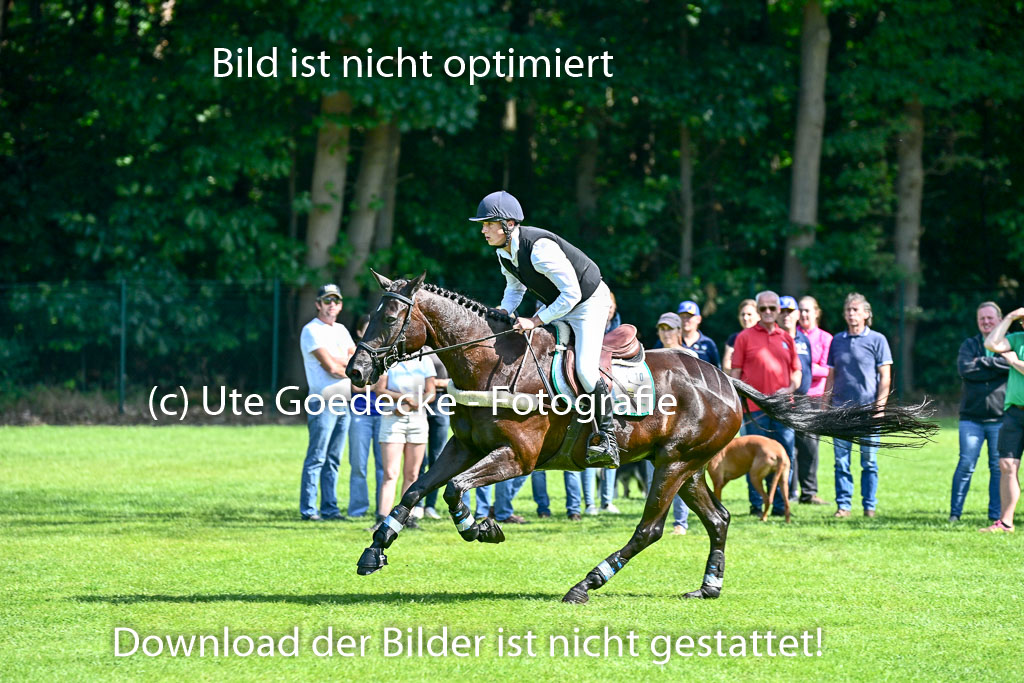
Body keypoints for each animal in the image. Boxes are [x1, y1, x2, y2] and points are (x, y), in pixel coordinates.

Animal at [346, 271, 935, 603]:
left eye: (391, 317)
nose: (356, 369)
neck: (490, 361)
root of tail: (726, 379)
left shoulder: (517, 456)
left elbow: (454, 492)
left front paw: (482, 528)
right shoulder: (462, 446)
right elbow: (417, 488)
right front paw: (375, 550)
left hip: (672, 464)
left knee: (650, 529)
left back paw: (587, 583)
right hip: (686, 466)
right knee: (719, 519)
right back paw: (708, 587)